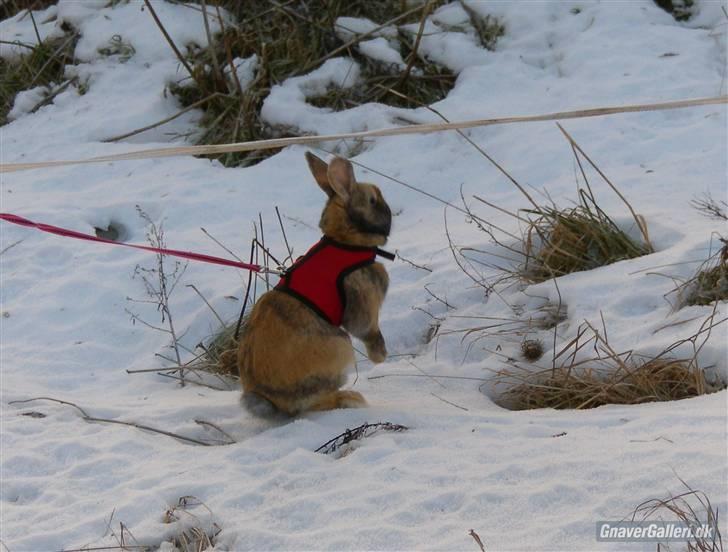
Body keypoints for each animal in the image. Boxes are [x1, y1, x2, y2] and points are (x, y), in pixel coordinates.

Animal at [237, 151, 392, 414]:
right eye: (372, 200)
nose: (390, 215)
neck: (345, 242)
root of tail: (271, 400)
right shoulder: (363, 304)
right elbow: (367, 330)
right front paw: (381, 357)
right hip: (341, 346)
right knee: (314, 403)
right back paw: (351, 399)